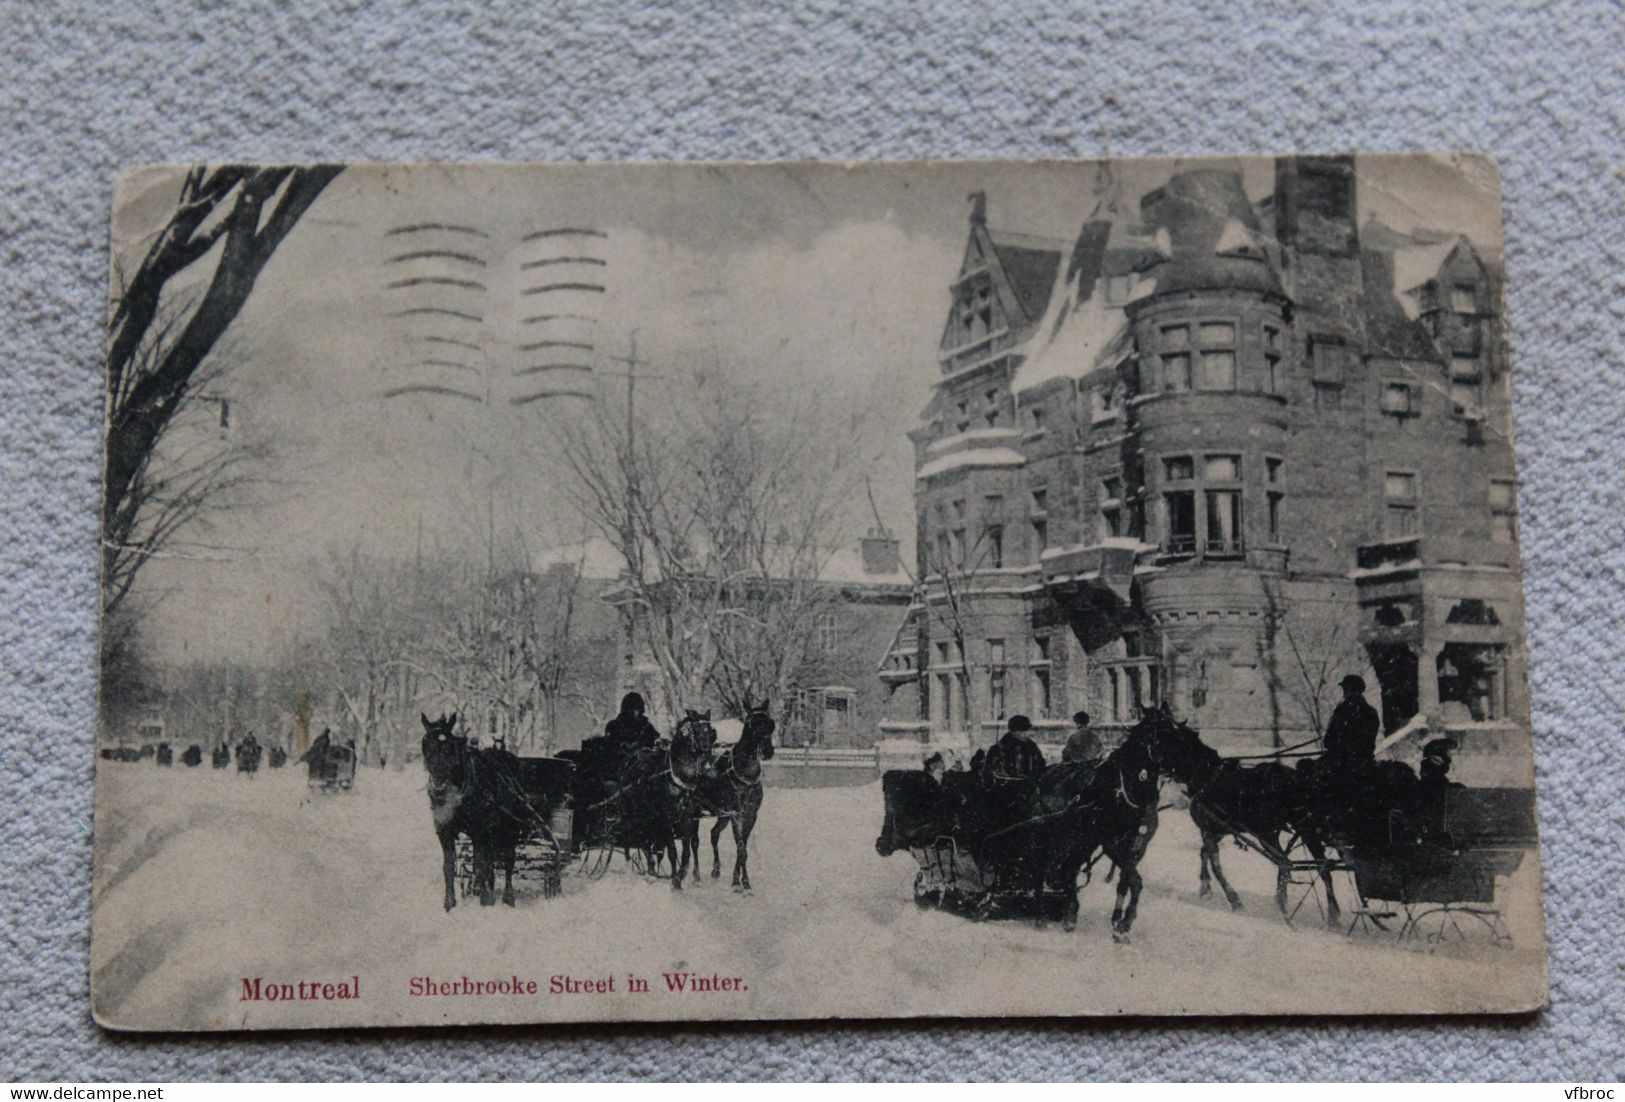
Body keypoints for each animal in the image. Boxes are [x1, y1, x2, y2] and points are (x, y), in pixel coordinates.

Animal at [689, 702, 776, 890]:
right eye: (752, 724)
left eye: (770, 723)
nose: (767, 751)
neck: (745, 777)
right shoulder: (736, 814)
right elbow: (741, 848)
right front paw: (741, 883)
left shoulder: (750, 815)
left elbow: (742, 847)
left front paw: (739, 880)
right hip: (694, 812)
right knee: (694, 841)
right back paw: (696, 875)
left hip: (722, 814)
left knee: (714, 833)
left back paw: (716, 870)